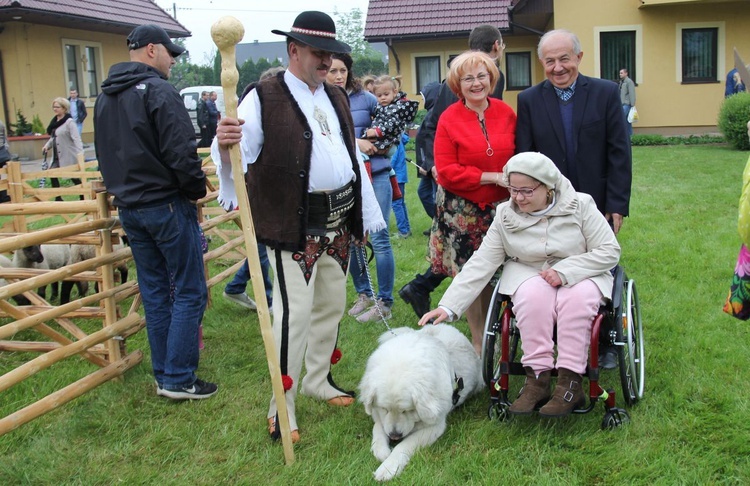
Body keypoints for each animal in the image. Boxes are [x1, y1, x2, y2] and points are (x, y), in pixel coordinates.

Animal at [360, 324, 488, 480]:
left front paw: (388, 468)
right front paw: (381, 450)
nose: (395, 436)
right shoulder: (380, 416)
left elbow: (405, 444)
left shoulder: (435, 426)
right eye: (384, 408)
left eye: (407, 410)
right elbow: (378, 427)